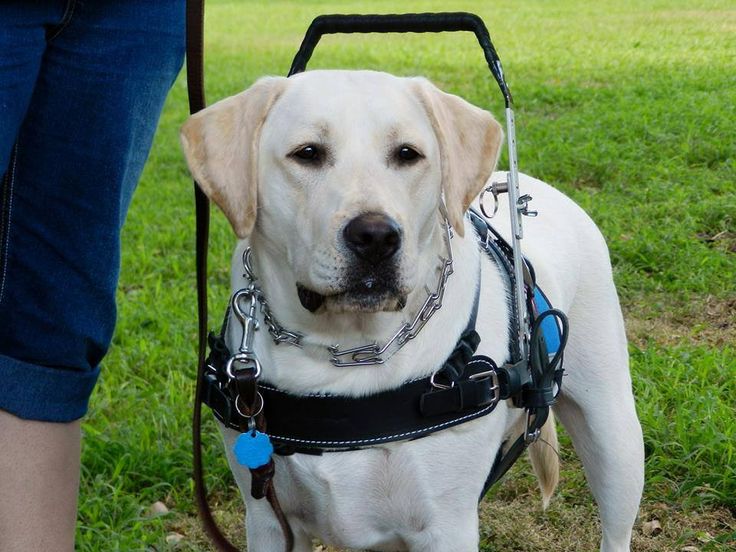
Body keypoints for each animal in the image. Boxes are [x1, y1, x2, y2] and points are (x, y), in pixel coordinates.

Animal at [180, 71, 644, 548]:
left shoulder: (446, 527)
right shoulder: (269, 520)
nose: (376, 237)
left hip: (614, 435)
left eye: (407, 154)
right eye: (307, 153)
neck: (345, 351)